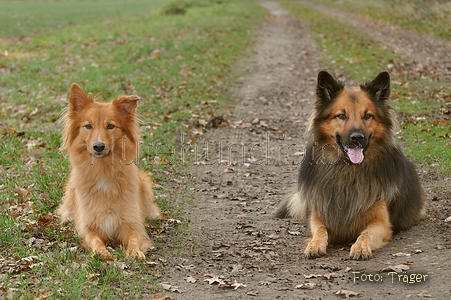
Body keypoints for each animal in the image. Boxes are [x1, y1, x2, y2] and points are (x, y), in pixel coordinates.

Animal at [57, 83, 161, 258]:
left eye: (110, 126)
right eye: (88, 126)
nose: (98, 146)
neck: (103, 171)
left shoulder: (132, 224)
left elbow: (134, 238)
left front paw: (135, 251)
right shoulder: (89, 227)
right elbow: (94, 240)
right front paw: (102, 252)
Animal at [276, 71, 428, 260]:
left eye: (367, 115)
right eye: (341, 115)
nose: (357, 138)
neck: (348, 171)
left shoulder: (381, 222)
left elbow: (366, 233)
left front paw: (361, 247)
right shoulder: (319, 215)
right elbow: (320, 229)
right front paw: (315, 244)